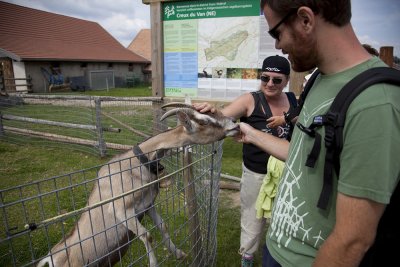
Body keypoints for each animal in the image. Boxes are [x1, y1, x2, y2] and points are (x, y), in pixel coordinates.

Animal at [36, 103, 238, 267]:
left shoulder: (147, 205)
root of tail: (50, 259)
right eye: (204, 122)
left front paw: (179, 253)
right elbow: (147, 234)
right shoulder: (120, 209)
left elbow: (163, 226)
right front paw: (154, 264)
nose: (235, 123)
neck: (137, 164)